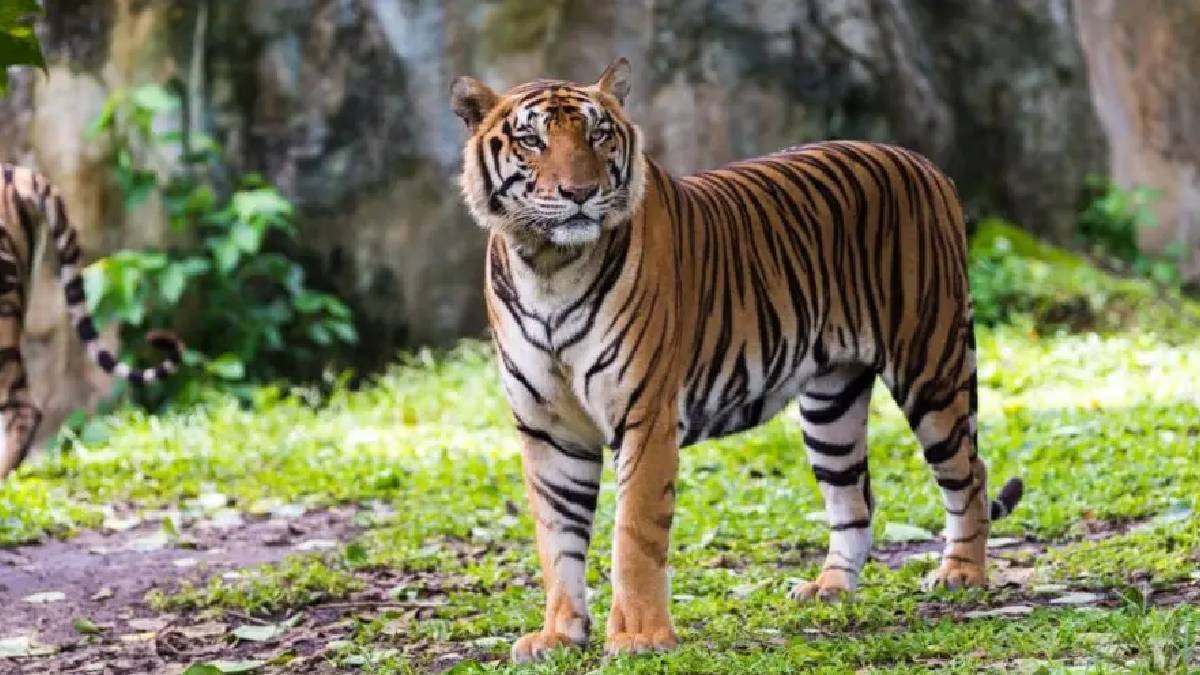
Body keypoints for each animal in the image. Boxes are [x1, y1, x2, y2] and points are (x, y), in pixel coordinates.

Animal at [450, 58, 1025, 660]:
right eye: (532, 140)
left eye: (598, 134)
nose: (581, 192)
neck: (547, 266)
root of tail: (923, 163)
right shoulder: (548, 429)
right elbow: (556, 538)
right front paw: (559, 634)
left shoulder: (645, 416)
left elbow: (634, 532)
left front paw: (639, 637)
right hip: (832, 405)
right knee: (855, 498)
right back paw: (830, 588)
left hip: (931, 364)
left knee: (970, 472)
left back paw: (961, 573)